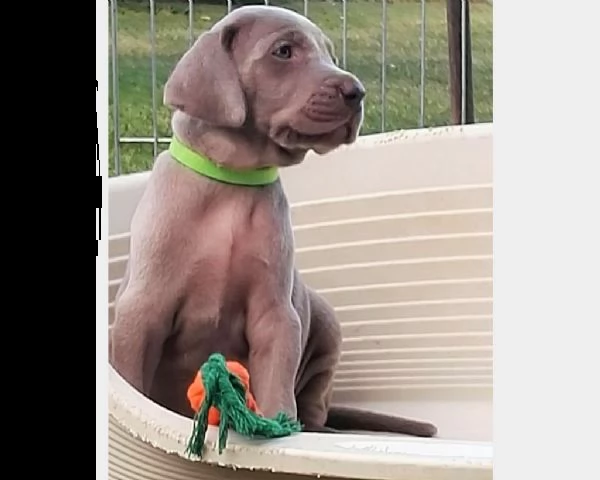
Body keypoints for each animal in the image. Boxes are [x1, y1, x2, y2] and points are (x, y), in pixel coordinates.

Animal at [109, 4, 436, 438]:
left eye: (330, 53)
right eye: (283, 51)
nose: (356, 92)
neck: (233, 181)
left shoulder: (276, 313)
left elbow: (278, 386)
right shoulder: (142, 309)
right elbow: (131, 380)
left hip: (324, 321)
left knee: (313, 406)